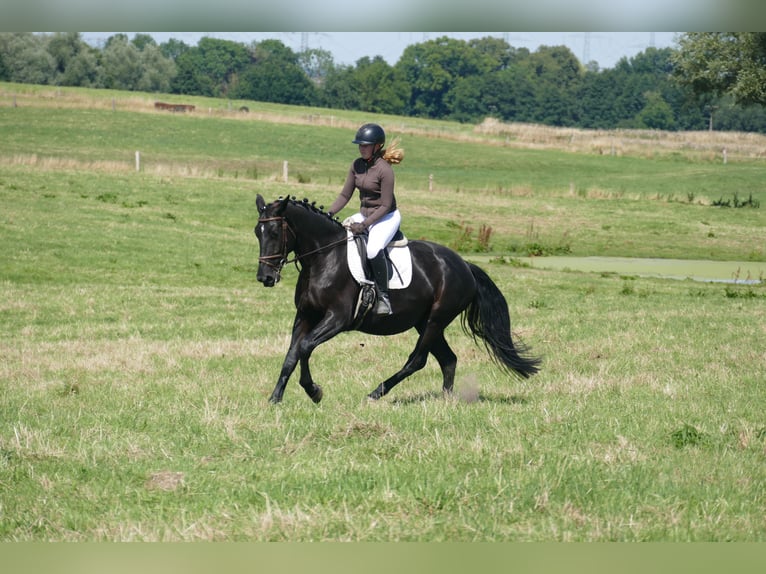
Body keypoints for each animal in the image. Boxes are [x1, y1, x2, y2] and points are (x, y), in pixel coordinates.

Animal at [254, 194, 541, 404]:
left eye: (275, 233)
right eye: (258, 232)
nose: (265, 277)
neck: (323, 258)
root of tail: (464, 265)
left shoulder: (337, 319)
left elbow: (305, 347)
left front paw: (314, 391)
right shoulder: (305, 315)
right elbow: (292, 354)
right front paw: (275, 399)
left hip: (436, 320)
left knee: (417, 360)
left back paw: (376, 393)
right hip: (424, 323)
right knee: (448, 359)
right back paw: (447, 400)